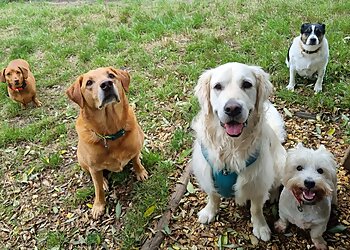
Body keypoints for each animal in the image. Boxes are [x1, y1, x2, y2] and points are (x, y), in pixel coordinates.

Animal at [191, 62, 288, 242]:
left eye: (247, 84)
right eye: (217, 86)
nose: (232, 108)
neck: (231, 146)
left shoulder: (258, 181)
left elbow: (256, 209)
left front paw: (261, 227)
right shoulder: (207, 173)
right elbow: (213, 196)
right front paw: (209, 212)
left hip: (279, 164)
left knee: (276, 184)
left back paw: (272, 196)